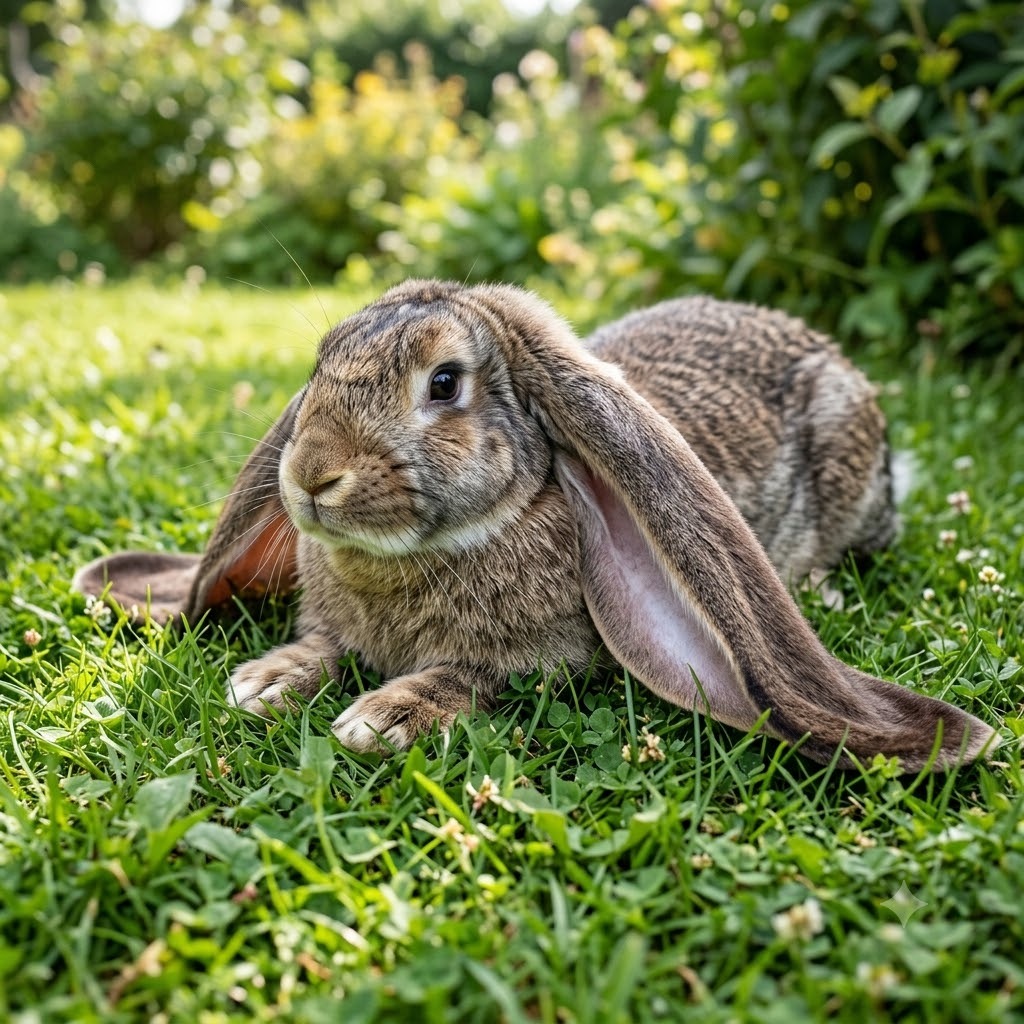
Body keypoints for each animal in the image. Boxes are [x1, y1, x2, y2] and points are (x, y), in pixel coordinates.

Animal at [73, 281, 994, 770]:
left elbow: (471, 675)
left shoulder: (541, 656)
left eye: (445, 383)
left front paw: (386, 717)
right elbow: (322, 645)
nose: (308, 477)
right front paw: (266, 680)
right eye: (320, 366)